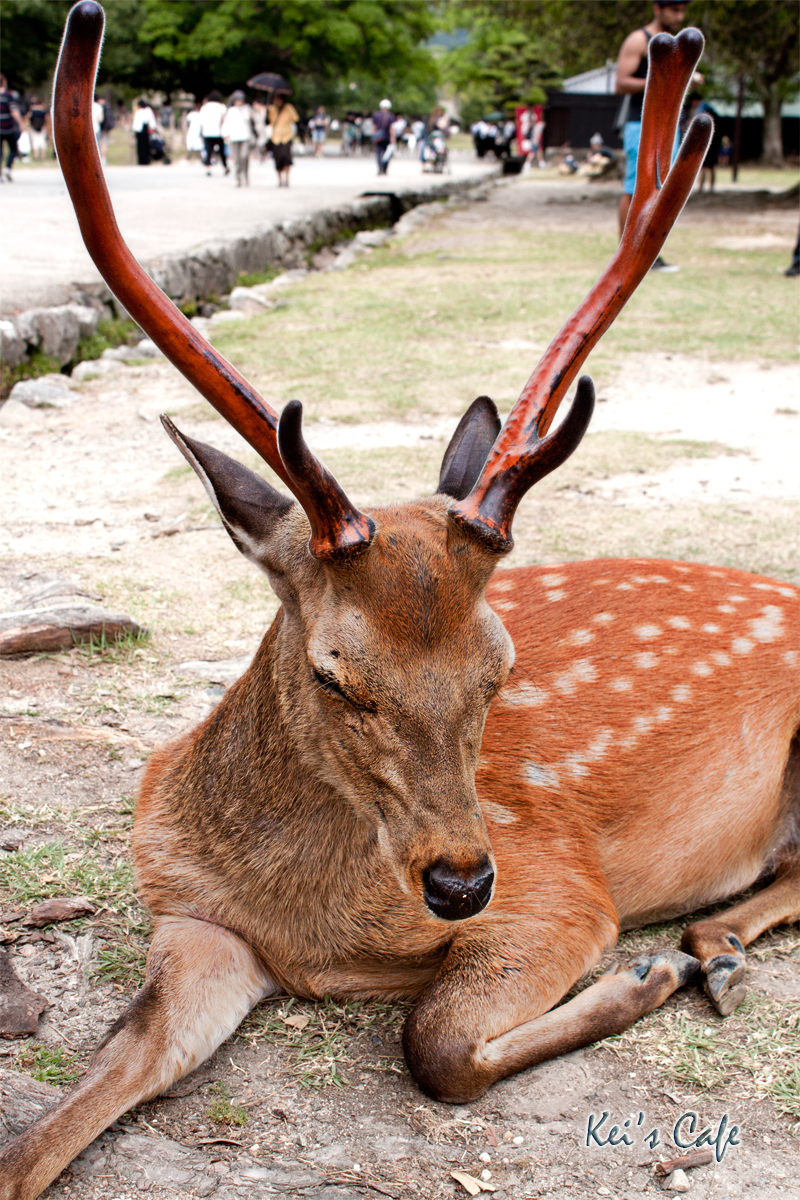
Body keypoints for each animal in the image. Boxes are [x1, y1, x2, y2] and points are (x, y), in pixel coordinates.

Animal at [1, 4, 800, 1195]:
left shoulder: (563, 890)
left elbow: (434, 1043)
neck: (313, 925)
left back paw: (708, 954)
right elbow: (78, 1095)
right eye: (334, 671)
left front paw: (636, 981)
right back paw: (717, 949)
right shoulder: (193, 919)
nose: (463, 882)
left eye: (502, 667)